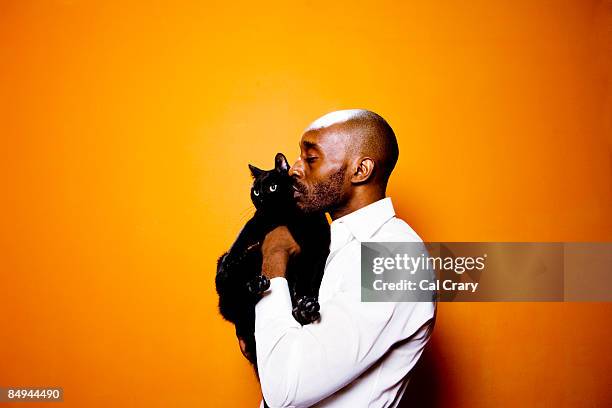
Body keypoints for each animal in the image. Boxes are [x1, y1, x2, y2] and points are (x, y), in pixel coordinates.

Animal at [215, 153, 330, 372]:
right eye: (255, 190)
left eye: (272, 188)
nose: (261, 198)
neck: (283, 217)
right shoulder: (255, 223)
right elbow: (241, 238)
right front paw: (231, 260)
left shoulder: (317, 247)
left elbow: (309, 279)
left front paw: (304, 301)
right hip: (234, 295)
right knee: (233, 301)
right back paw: (251, 281)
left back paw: (304, 310)